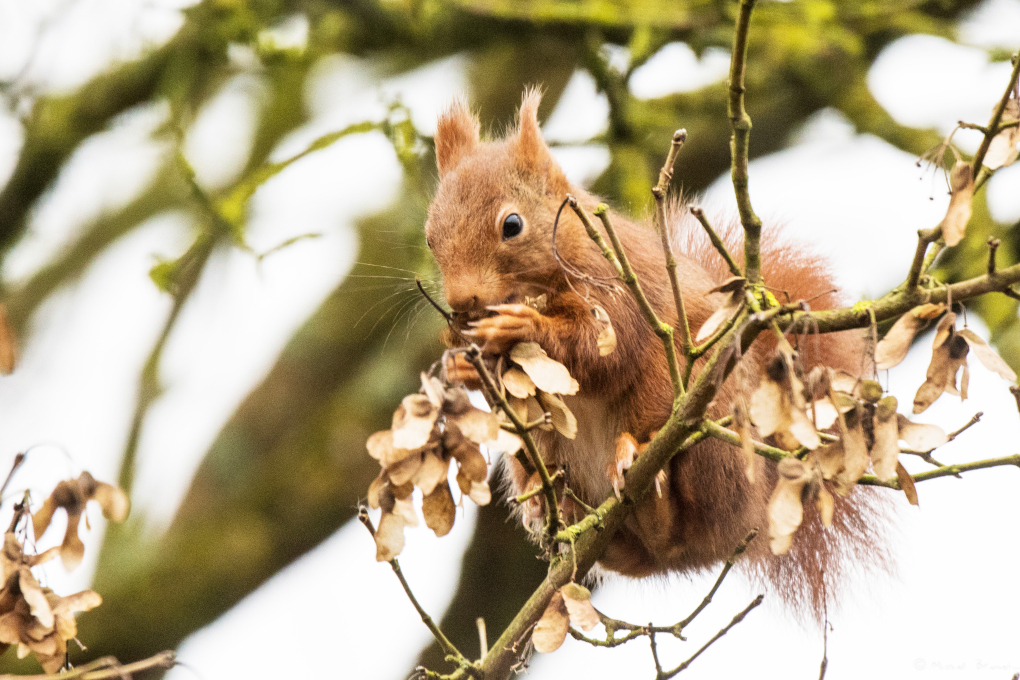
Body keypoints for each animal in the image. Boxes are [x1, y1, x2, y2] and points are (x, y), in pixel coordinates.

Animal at [422, 91, 885, 615]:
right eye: (429, 236)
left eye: (512, 225)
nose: (462, 302)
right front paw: (462, 361)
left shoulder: (620, 290)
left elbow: (605, 353)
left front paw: (520, 326)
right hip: (537, 455)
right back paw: (549, 509)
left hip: (709, 432)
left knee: (680, 518)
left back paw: (641, 474)